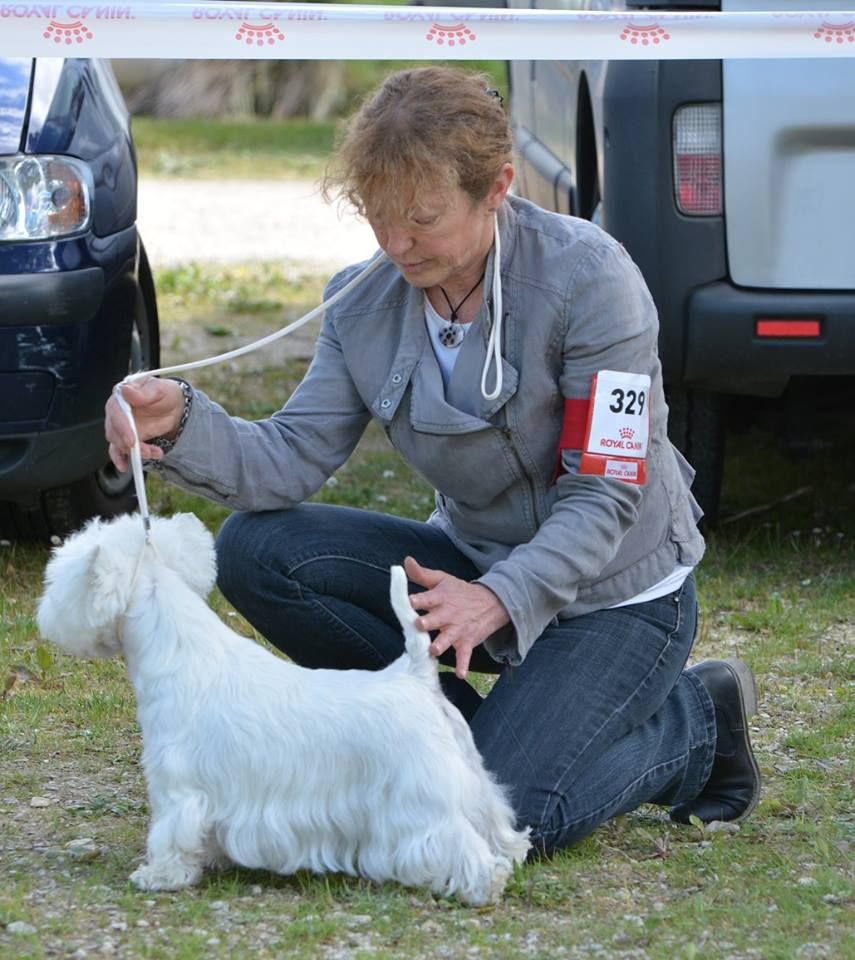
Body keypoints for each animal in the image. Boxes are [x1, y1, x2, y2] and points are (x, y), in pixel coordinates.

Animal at [37, 512, 530, 904]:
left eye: (60, 577)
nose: (45, 614)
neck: (177, 648)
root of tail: (414, 674)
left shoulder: (177, 787)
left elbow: (171, 836)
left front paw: (159, 876)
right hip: (470, 778)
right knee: (493, 817)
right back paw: (512, 851)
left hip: (421, 797)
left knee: (456, 841)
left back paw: (484, 885)